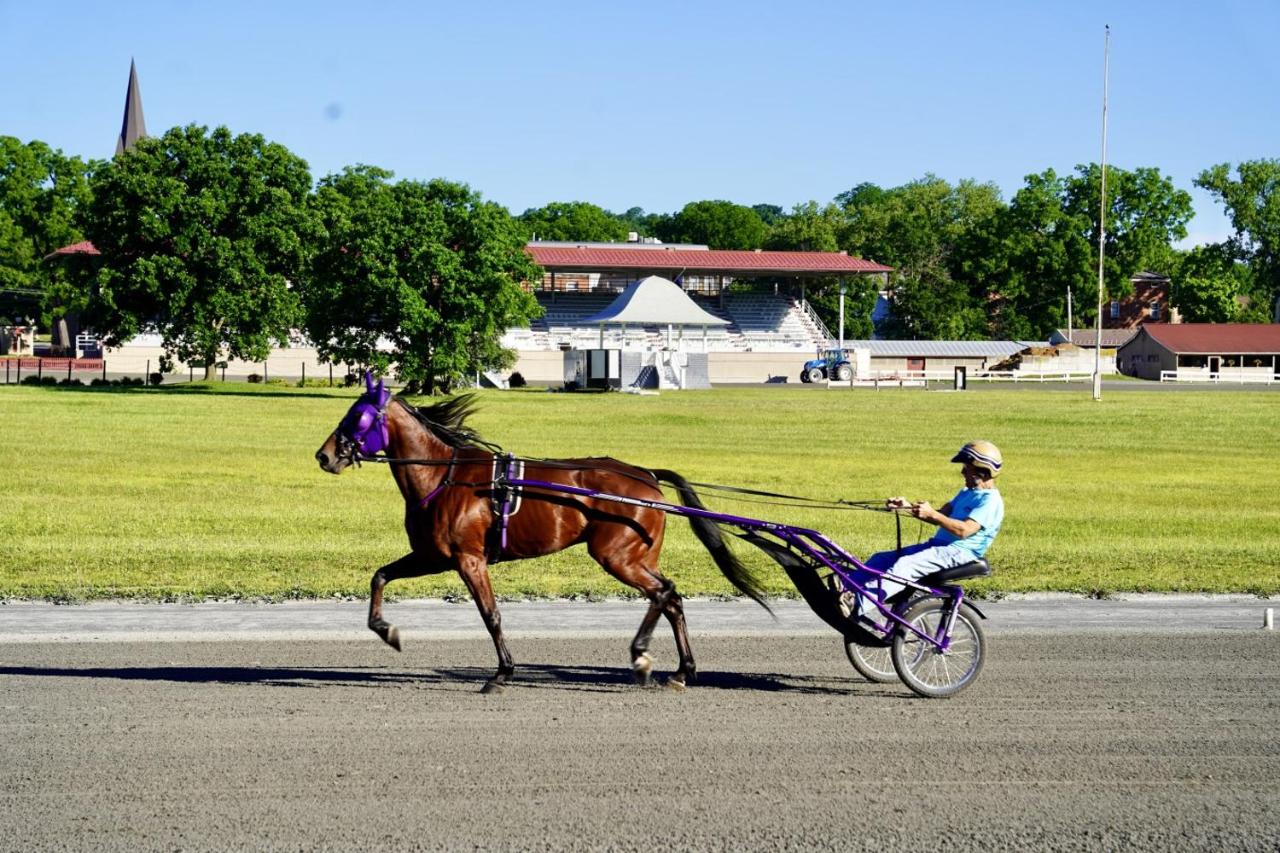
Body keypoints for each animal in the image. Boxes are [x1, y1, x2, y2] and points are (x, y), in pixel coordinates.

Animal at [314, 375, 771, 693]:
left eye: (356, 416)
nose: (323, 456)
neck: (445, 477)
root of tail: (645, 475)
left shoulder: (468, 559)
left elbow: (491, 615)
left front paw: (502, 673)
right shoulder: (434, 556)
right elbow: (379, 576)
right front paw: (387, 630)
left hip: (616, 555)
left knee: (664, 593)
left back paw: (641, 656)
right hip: (637, 556)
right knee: (672, 598)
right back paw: (682, 670)